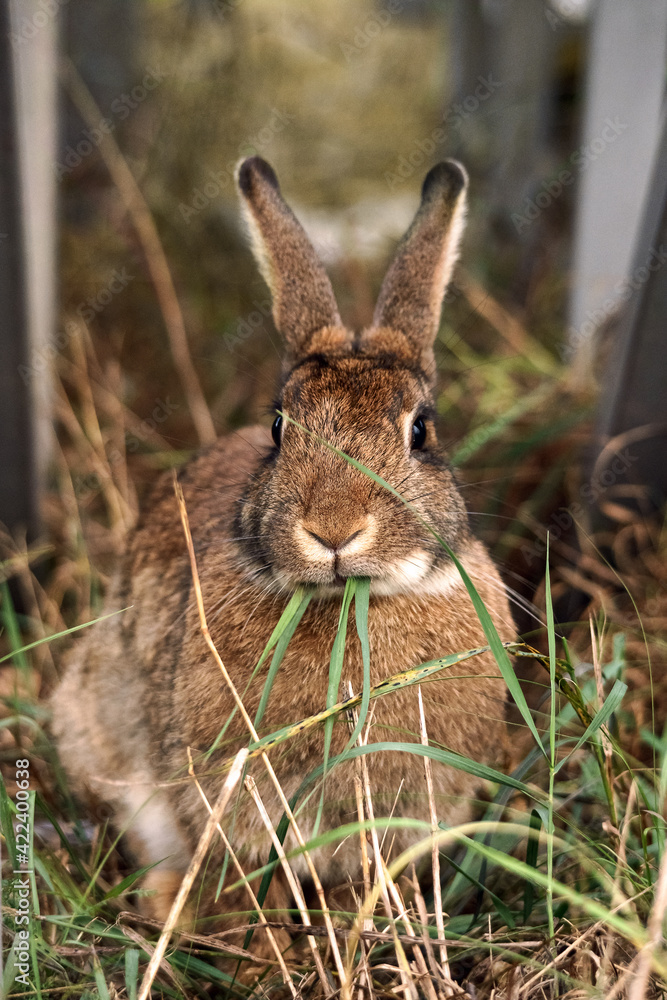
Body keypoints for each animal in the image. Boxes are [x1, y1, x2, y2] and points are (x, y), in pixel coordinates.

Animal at [51, 155, 515, 954]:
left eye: (420, 431)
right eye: (277, 428)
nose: (333, 530)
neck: (352, 601)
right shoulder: (221, 796)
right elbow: (237, 875)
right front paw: (255, 948)